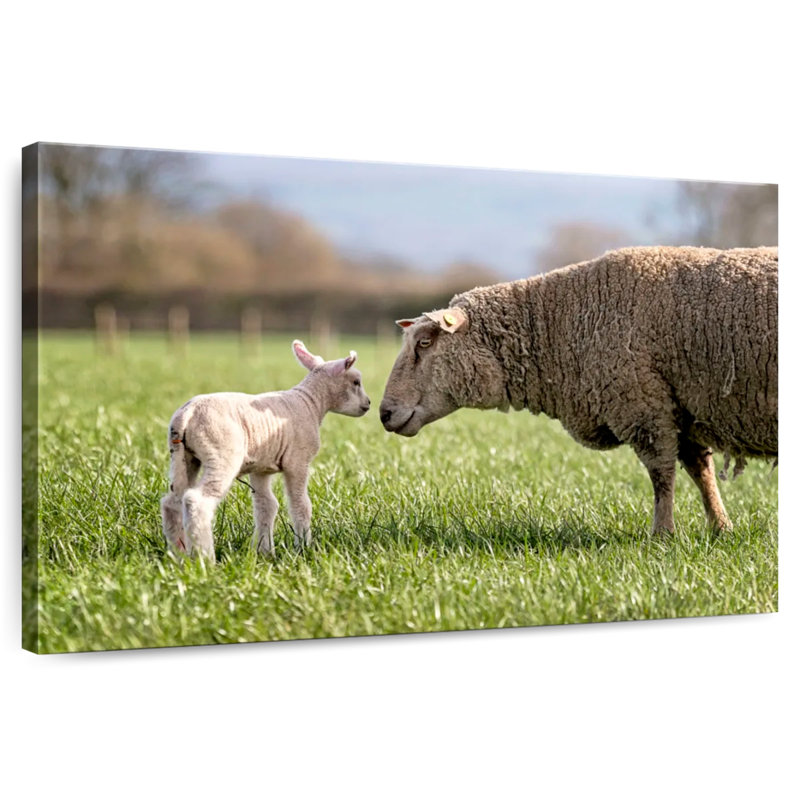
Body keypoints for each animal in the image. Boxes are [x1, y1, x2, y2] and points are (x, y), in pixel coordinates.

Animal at [160, 340, 371, 561]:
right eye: (356, 382)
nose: (368, 403)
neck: (311, 403)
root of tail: (187, 414)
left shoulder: (260, 467)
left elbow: (266, 506)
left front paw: (264, 552)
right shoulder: (297, 461)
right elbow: (300, 505)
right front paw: (303, 547)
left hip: (182, 456)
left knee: (172, 502)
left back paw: (177, 555)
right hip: (221, 454)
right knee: (196, 500)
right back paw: (205, 558)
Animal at [380, 246, 778, 534]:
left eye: (425, 343)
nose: (384, 413)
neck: (562, 323)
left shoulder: (643, 406)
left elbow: (662, 476)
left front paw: (662, 535)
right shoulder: (677, 405)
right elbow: (701, 472)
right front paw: (721, 528)